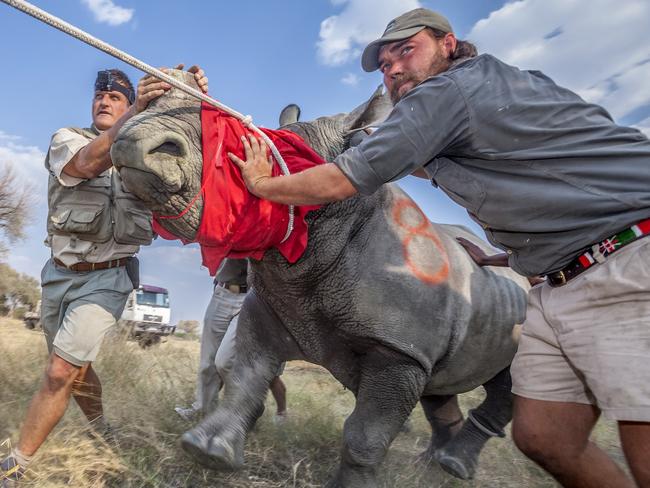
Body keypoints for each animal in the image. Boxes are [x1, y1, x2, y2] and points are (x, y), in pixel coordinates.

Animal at [110, 70, 528, 486]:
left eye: (277, 153)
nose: (135, 143)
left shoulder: (399, 349)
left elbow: (365, 437)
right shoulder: (274, 308)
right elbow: (246, 378)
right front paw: (208, 450)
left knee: (507, 382)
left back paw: (453, 465)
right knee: (440, 388)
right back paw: (429, 466)